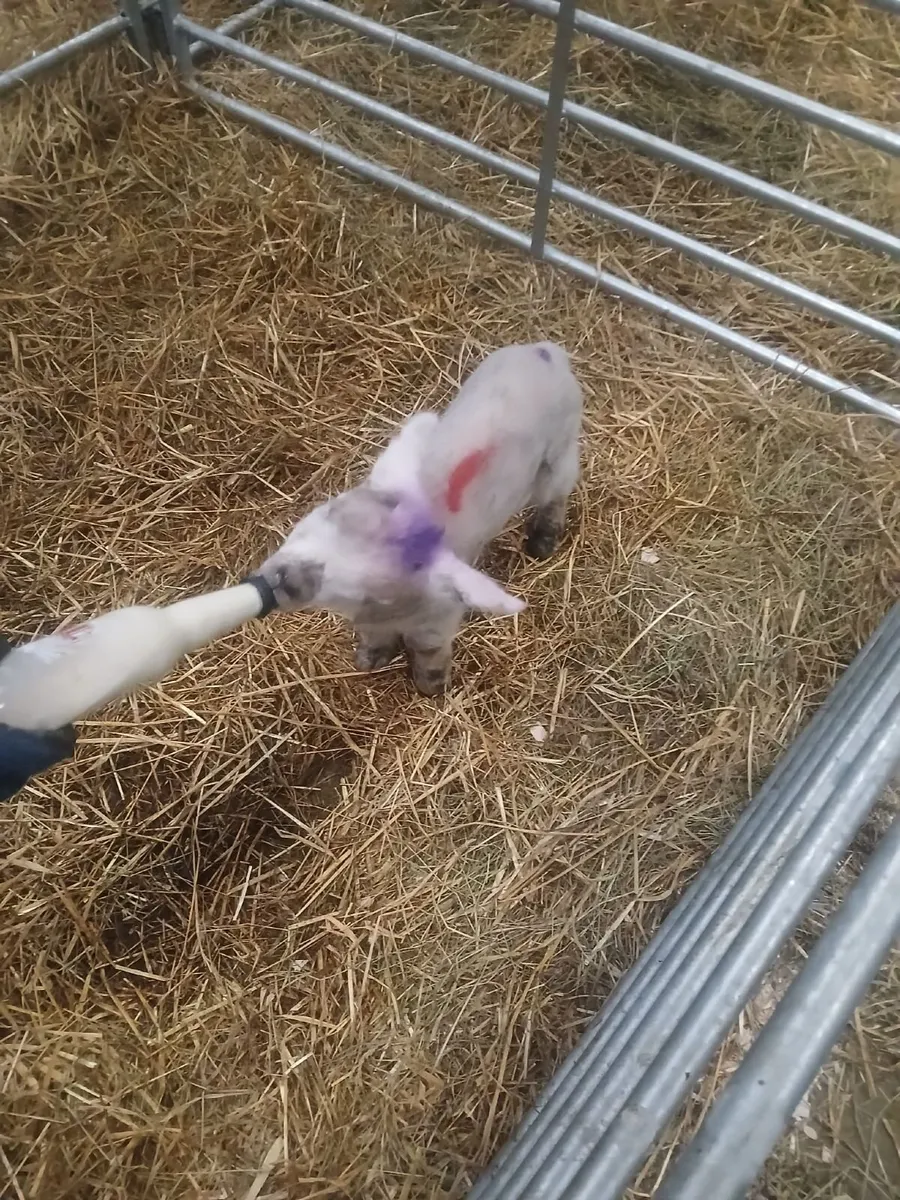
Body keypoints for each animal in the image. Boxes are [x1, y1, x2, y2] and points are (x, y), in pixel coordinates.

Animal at [254, 341, 582, 695]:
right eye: (329, 512)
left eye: (406, 567)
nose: (284, 578)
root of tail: (545, 352)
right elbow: (373, 636)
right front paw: (370, 659)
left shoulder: (439, 617)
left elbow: (427, 649)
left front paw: (432, 686)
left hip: (561, 452)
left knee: (556, 494)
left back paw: (543, 541)